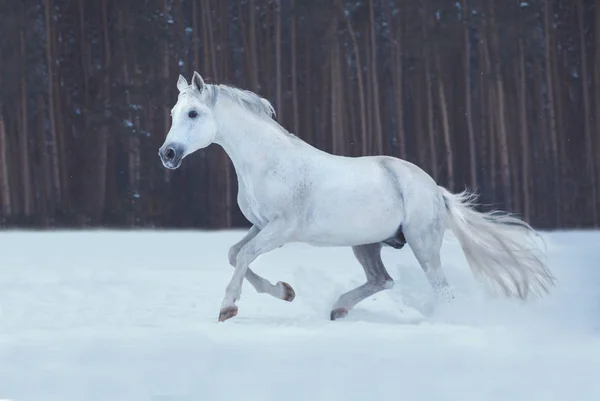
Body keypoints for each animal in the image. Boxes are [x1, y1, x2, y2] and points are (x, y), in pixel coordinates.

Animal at [157, 71, 556, 322]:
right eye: (173, 112)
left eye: (194, 113)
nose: (168, 154)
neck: (266, 162)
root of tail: (435, 189)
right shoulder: (260, 225)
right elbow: (234, 253)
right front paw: (285, 292)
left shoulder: (282, 229)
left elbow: (244, 256)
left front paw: (228, 307)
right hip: (366, 244)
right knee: (383, 280)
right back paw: (338, 309)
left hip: (423, 244)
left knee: (441, 290)